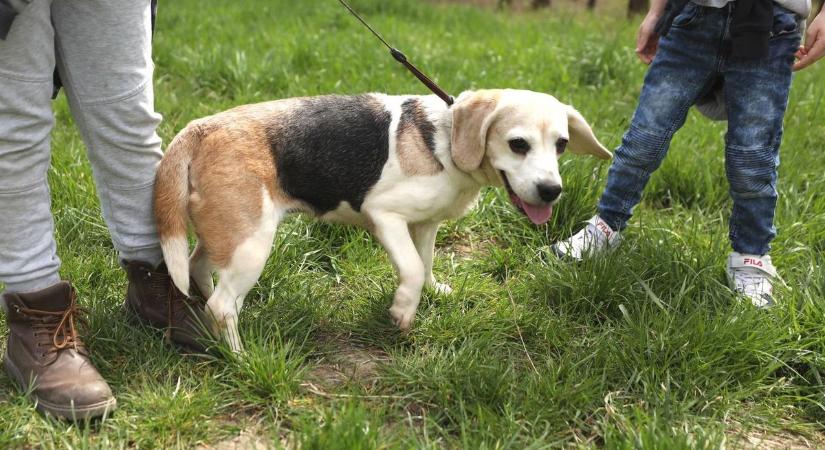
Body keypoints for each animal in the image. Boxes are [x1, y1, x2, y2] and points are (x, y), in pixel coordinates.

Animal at [156, 89, 612, 352]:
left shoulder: (425, 225)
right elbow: (411, 269)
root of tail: (202, 127)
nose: (551, 191)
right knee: (223, 305)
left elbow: (426, 263)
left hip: (227, 237)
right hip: (252, 244)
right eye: (518, 145)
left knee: (198, 269)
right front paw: (403, 312)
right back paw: (239, 356)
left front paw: (434, 292)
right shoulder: (385, 216)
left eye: (561, 145)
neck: (445, 136)